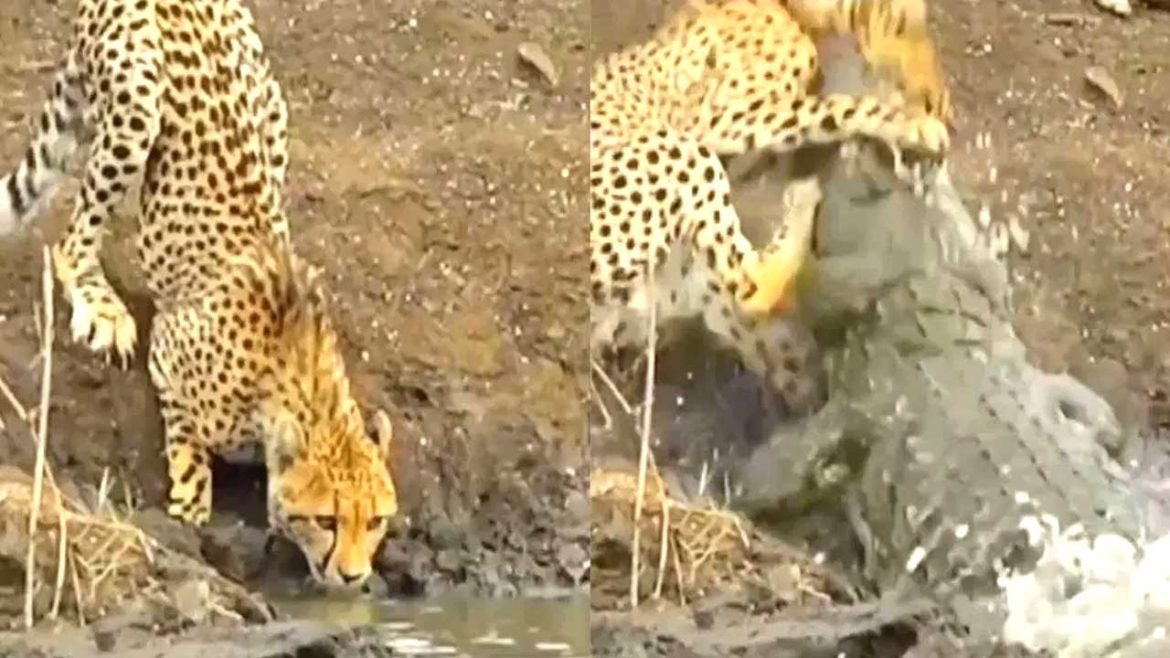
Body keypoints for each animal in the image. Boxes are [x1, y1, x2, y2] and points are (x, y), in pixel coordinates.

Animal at [0, 0, 398, 589]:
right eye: (326, 520)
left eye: (374, 521)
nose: (352, 577)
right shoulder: (169, 353)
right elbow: (189, 451)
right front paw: (190, 507)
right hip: (139, 100)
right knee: (71, 241)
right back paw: (102, 306)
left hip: (271, 105)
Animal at [590, 0, 953, 410]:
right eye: (905, 23)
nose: (939, 102)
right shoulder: (716, 120)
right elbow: (837, 107)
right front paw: (913, 126)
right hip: (678, 152)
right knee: (753, 287)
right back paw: (804, 203)